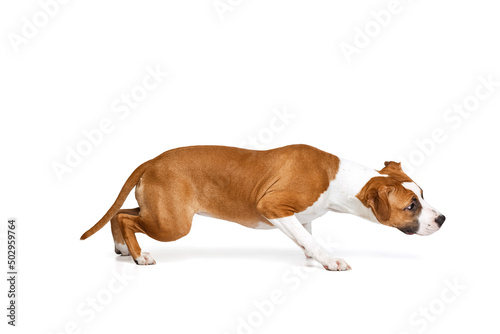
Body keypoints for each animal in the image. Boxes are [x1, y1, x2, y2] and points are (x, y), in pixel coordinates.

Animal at [81, 145, 446, 270]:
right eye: (411, 205)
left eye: (423, 194)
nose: (442, 218)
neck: (339, 179)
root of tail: (152, 161)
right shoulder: (271, 206)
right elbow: (310, 239)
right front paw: (330, 260)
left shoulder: (299, 216)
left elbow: (305, 236)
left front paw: (312, 257)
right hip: (173, 224)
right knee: (126, 219)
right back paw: (139, 256)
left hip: (159, 211)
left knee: (120, 214)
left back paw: (122, 248)